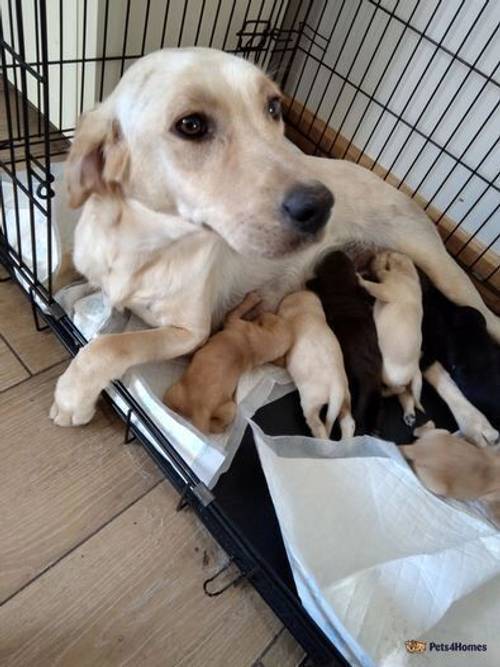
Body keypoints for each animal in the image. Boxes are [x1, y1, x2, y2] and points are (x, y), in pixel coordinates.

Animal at [304, 249, 382, 434]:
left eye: (341, 258)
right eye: (346, 261)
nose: (336, 251)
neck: (341, 291)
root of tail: (365, 377)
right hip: (376, 386)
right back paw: (375, 428)